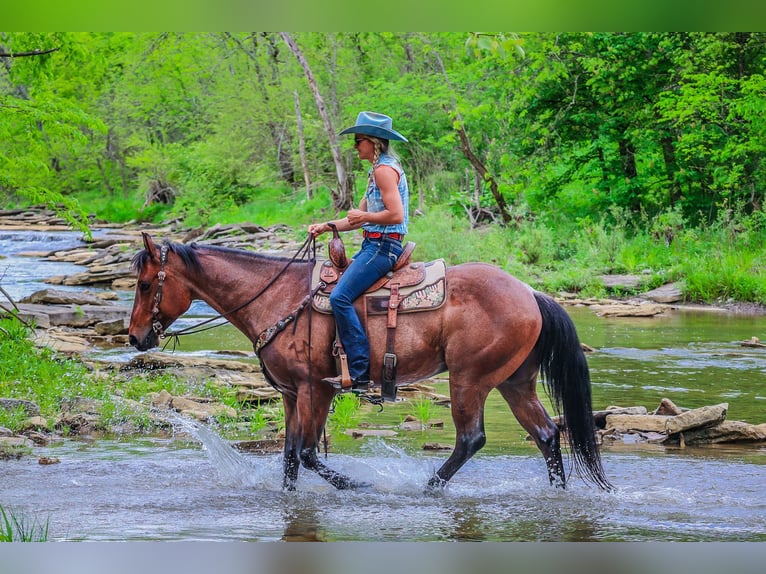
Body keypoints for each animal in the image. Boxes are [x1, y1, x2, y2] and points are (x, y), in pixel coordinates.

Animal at [129, 234, 616, 496]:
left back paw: (426, 488)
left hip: (470, 379)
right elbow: (289, 457)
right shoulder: (290, 394)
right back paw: (557, 493)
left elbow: (307, 453)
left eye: (146, 283)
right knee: (547, 434)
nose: (135, 337)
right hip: (514, 382)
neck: (278, 299)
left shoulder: (316, 388)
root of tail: (530, 292)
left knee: (471, 439)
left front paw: (358, 487)